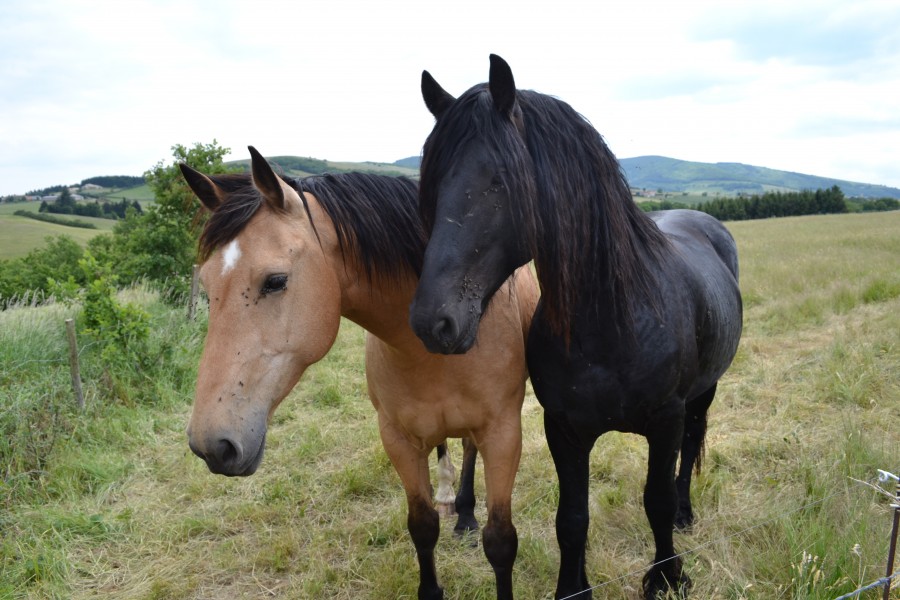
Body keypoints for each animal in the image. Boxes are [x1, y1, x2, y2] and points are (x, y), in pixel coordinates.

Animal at [179, 146, 536, 600]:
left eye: (275, 281)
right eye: (207, 286)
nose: (211, 445)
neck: (434, 345)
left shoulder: (504, 435)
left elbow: (501, 540)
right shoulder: (398, 440)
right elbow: (422, 527)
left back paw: (466, 515)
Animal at [412, 54, 740, 596]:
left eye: (499, 180)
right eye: (432, 183)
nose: (431, 322)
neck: (613, 322)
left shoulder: (667, 421)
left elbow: (656, 501)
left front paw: (666, 577)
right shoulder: (563, 428)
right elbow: (572, 519)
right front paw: (572, 587)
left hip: (703, 393)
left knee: (692, 446)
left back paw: (687, 515)